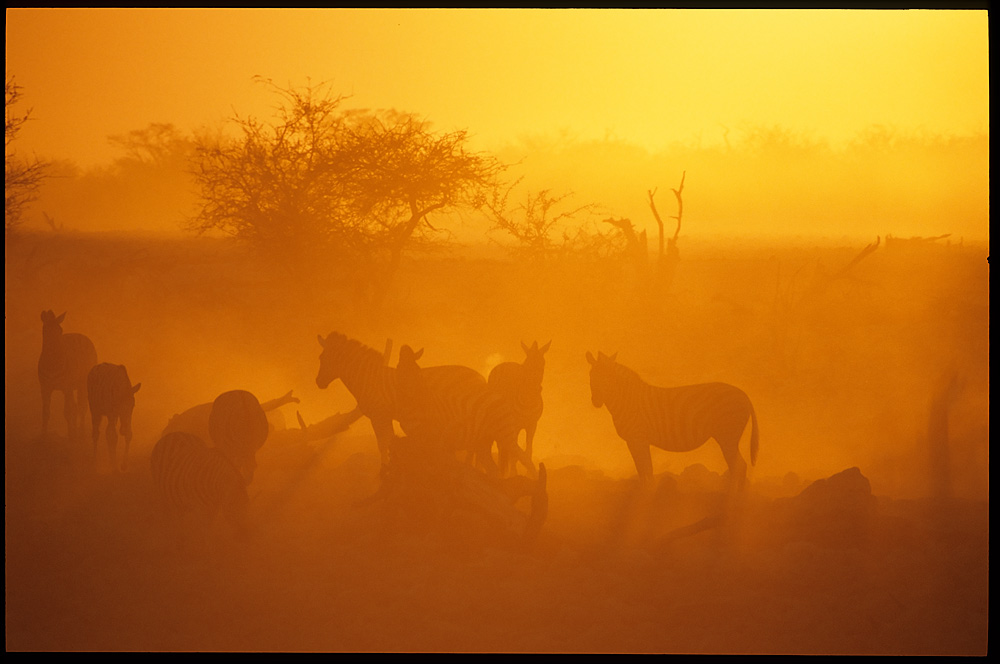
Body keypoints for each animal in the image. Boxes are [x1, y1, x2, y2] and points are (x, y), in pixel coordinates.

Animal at [38, 308, 98, 438]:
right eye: (46, 331)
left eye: (60, 331)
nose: (59, 355)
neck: (52, 367)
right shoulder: (45, 388)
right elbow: (45, 413)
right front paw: (43, 436)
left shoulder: (66, 387)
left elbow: (67, 411)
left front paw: (71, 435)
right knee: (76, 407)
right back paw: (76, 430)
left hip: (82, 384)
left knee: (81, 407)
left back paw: (80, 432)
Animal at [488, 342, 552, 478]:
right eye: (527, 364)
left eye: (543, 364)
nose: (536, 389)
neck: (528, 402)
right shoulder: (515, 425)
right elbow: (514, 451)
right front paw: (513, 473)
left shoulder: (532, 425)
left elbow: (528, 450)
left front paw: (528, 473)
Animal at [584, 350, 756, 490]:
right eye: (592, 376)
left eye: (609, 377)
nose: (596, 401)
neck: (627, 400)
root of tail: (745, 395)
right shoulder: (635, 441)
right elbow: (644, 473)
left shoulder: (638, 439)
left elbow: (646, 473)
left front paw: (644, 502)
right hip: (728, 437)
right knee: (740, 467)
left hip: (727, 436)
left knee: (739, 467)